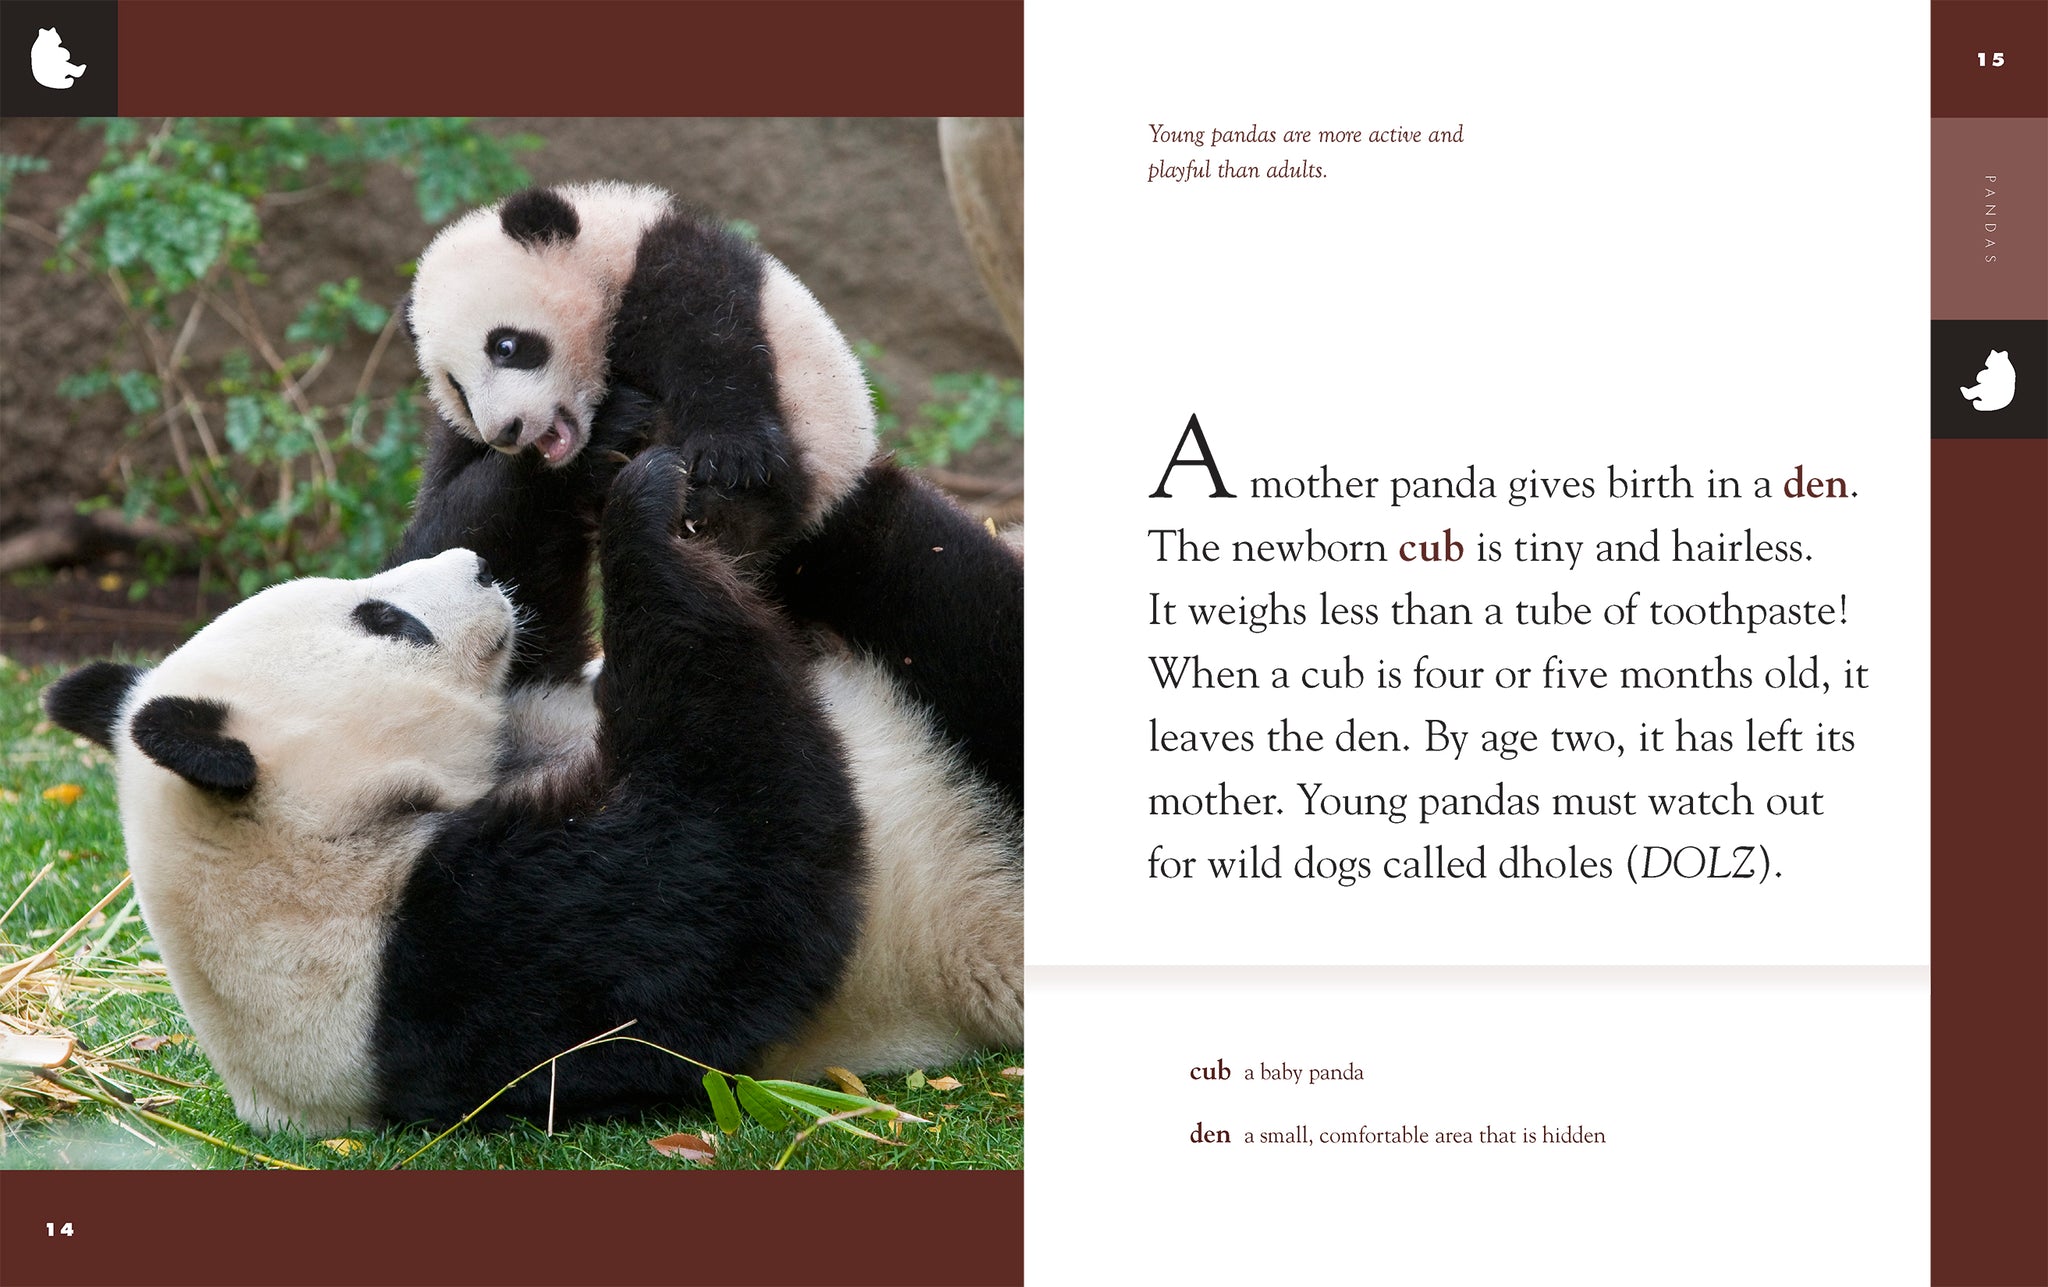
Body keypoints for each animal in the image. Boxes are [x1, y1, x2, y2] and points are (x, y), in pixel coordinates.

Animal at [43, 447, 1020, 1134]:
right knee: (958, 613)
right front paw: (644, 512)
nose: (476, 570)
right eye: (383, 618)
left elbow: (540, 617)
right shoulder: (452, 959)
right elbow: (739, 877)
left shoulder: (531, 704)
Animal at [404, 182, 1022, 810]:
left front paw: (723, 459)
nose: (505, 431)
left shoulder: (678, 273)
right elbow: (450, 534)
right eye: (456, 387)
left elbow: (713, 349)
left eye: (506, 345)